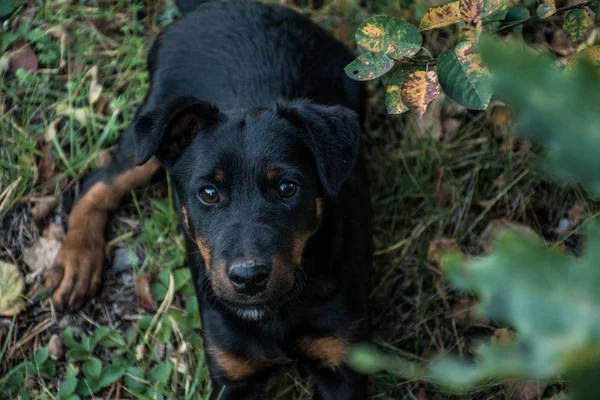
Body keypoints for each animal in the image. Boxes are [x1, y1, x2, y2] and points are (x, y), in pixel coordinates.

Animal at [44, 0, 370, 396]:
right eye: (209, 193)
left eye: (287, 188)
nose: (249, 278)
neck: (276, 309)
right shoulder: (231, 372)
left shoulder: (342, 363)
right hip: (148, 138)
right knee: (100, 181)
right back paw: (77, 262)